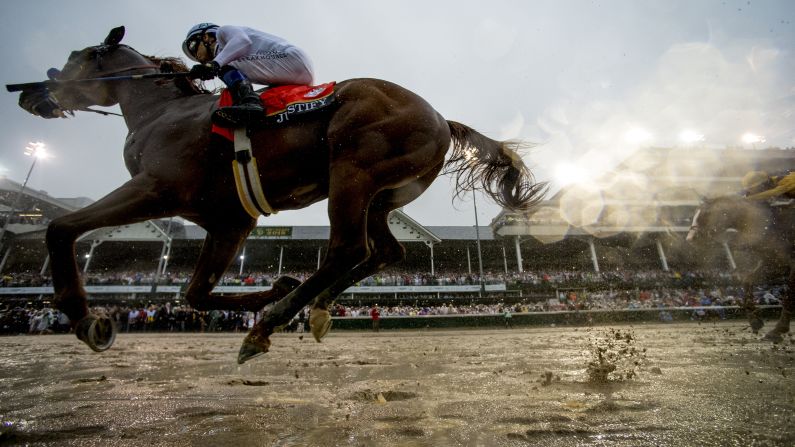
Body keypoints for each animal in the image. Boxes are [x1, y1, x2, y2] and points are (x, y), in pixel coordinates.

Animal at [12, 27, 548, 364]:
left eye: (75, 60)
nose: (30, 94)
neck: (161, 112)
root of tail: (441, 118)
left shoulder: (156, 187)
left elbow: (61, 228)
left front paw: (86, 318)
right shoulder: (228, 221)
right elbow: (195, 291)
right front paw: (277, 285)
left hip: (351, 171)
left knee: (348, 248)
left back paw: (271, 322)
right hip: (380, 194)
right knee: (384, 250)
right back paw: (309, 307)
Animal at [688, 195, 792, 344]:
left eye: (706, 214)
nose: (689, 238)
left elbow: (789, 297)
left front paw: (778, 329)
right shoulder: (776, 265)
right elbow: (747, 280)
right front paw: (754, 320)